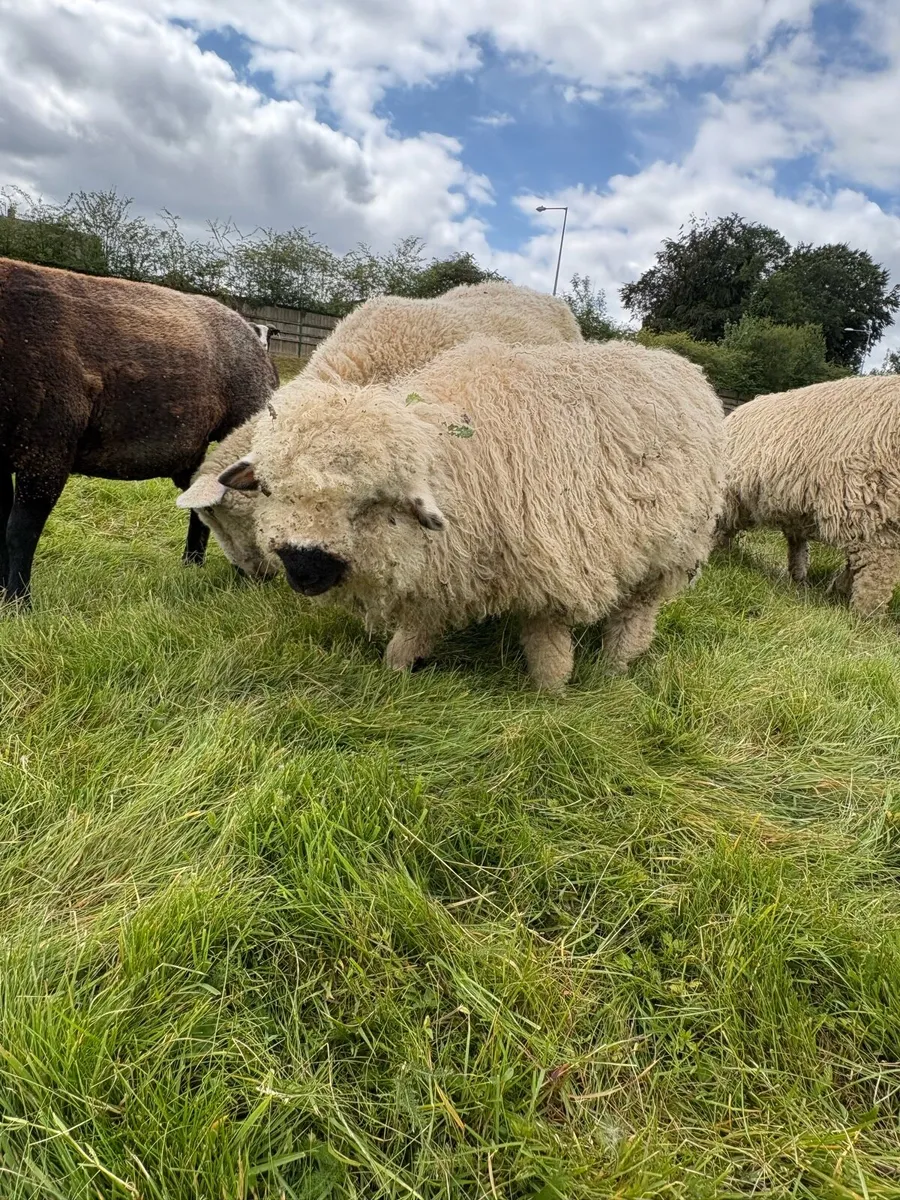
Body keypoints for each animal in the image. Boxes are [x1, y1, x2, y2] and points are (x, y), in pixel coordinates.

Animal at [215, 337, 724, 690]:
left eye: (368, 503)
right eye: (268, 489)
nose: (302, 569)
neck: (460, 460)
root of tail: (678, 363)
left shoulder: (552, 570)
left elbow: (548, 644)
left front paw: (552, 695)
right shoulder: (443, 564)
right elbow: (418, 627)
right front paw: (395, 672)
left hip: (672, 552)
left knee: (637, 614)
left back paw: (616, 666)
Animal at [719, 375, 900, 615]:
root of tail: (740, 410)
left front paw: (840, 590)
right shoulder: (872, 513)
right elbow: (876, 574)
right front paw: (866, 615)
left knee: (796, 543)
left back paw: (798, 577)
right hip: (733, 491)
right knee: (723, 522)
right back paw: (720, 552)